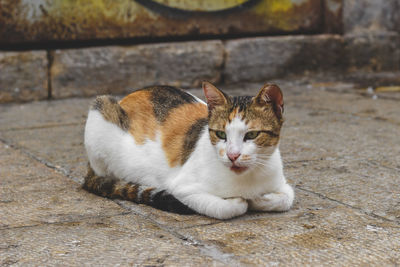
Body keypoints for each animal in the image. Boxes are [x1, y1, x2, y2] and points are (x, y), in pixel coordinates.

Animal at [83, 81, 294, 220]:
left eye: (251, 135)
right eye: (221, 134)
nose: (232, 156)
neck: (247, 178)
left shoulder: (280, 182)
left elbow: (286, 198)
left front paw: (259, 199)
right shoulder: (182, 189)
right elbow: (227, 208)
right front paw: (243, 202)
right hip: (100, 106)